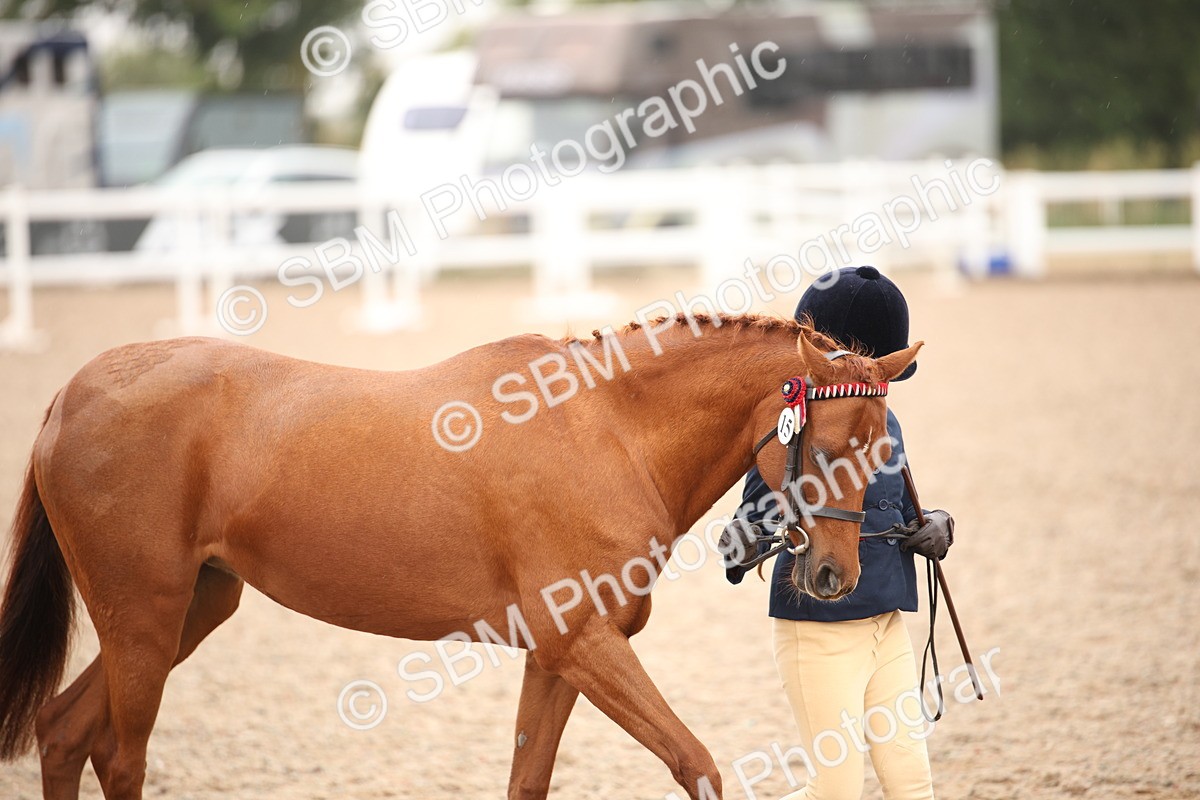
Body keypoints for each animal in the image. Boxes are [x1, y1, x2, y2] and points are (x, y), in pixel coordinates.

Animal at [0, 311, 919, 800]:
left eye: (881, 451)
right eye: (827, 443)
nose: (834, 577)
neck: (608, 430)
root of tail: (74, 393)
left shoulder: (558, 658)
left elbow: (527, 780)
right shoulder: (585, 646)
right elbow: (695, 764)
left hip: (190, 608)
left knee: (65, 731)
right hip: (144, 618)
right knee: (120, 754)